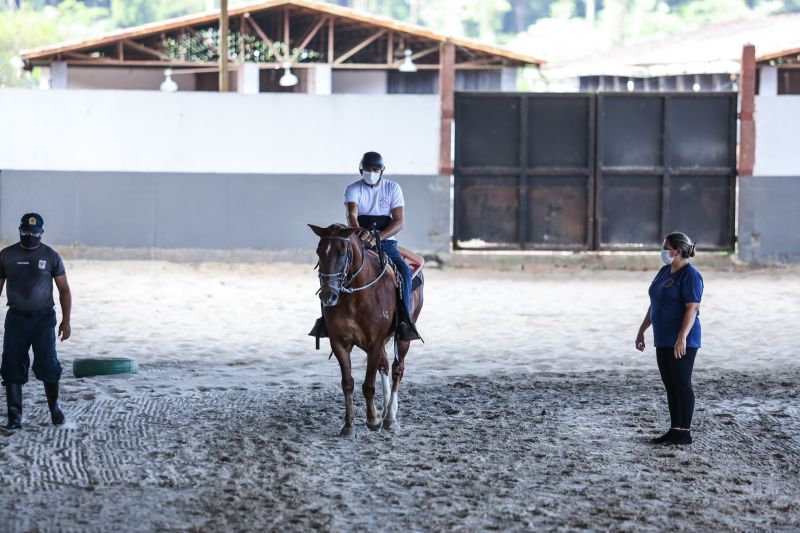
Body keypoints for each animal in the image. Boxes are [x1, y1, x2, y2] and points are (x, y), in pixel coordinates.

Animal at [308, 222, 424, 434]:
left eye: (343, 252)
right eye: (319, 251)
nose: (328, 295)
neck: (355, 297)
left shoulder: (375, 343)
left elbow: (369, 385)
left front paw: (372, 420)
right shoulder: (339, 343)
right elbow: (347, 383)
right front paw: (349, 424)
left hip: (403, 337)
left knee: (397, 369)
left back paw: (390, 417)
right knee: (384, 366)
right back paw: (384, 412)